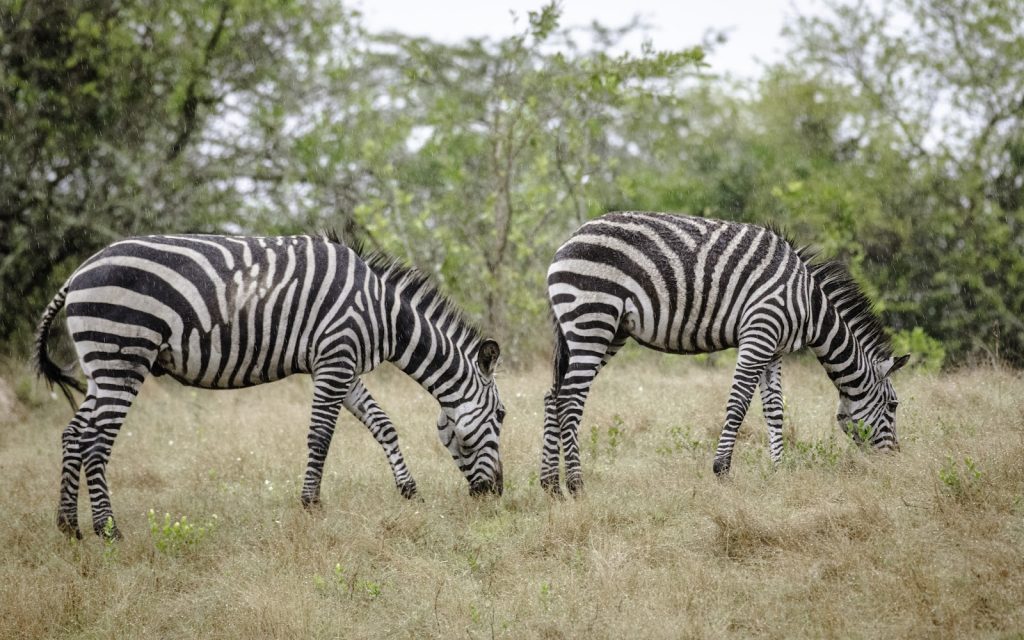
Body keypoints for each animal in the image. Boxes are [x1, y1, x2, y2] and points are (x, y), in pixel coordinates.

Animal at [35, 233, 505, 539]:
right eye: (501, 416)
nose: (496, 494)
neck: (387, 316)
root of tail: (77, 273)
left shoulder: (345, 366)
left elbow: (383, 424)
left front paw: (409, 491)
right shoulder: (335, 358)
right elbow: (321, 436)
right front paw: (311, 504)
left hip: (101, 366)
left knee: (74, 433)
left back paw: (68, 526)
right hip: (121, 357)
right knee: (96, 441)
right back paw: (108, 529)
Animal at [541, 211, 909, 495]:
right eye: (893, 405)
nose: (897, 460)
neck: (810, 306)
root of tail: (569, 240)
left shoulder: (774, 351)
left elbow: (774, 410)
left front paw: (779, 470)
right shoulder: (759, 333)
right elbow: (738, 404)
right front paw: (722, 470)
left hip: (606, 331)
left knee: (553, 395)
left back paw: (550, 486)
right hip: (593, 320)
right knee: (570, 399)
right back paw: (576, 485)